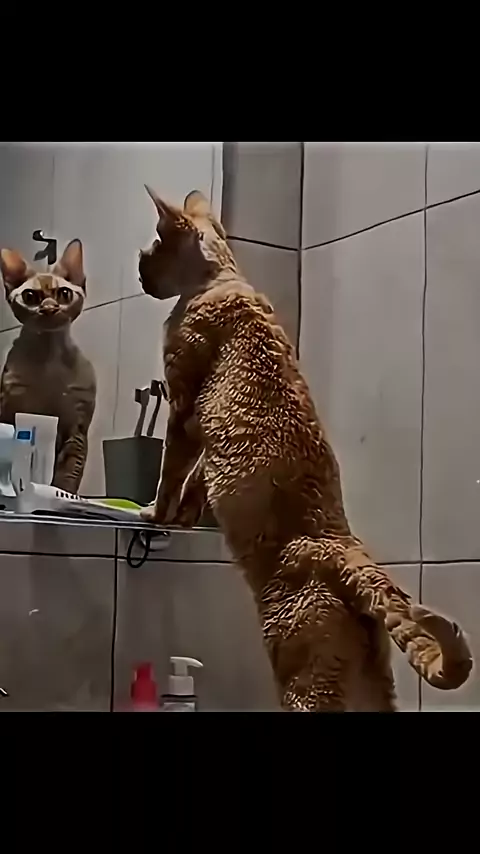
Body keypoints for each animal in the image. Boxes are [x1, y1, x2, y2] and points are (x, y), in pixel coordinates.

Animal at [0, 240, 96, 494]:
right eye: (30, 296)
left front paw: (62, 494)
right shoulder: (8, 410)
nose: (50, 308)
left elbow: (67, 477)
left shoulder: (77, 429)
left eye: (63, 293)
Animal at [138, 186, 473, 711]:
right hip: (365, 681)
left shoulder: (184, 408)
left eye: (154, 244)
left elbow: (171, 472)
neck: (221, 278)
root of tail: (345, 548)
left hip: (302, 676)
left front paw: (155, 514)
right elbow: (193, 481)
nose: (138, 267)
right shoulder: (204, 438)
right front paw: (185, 516)